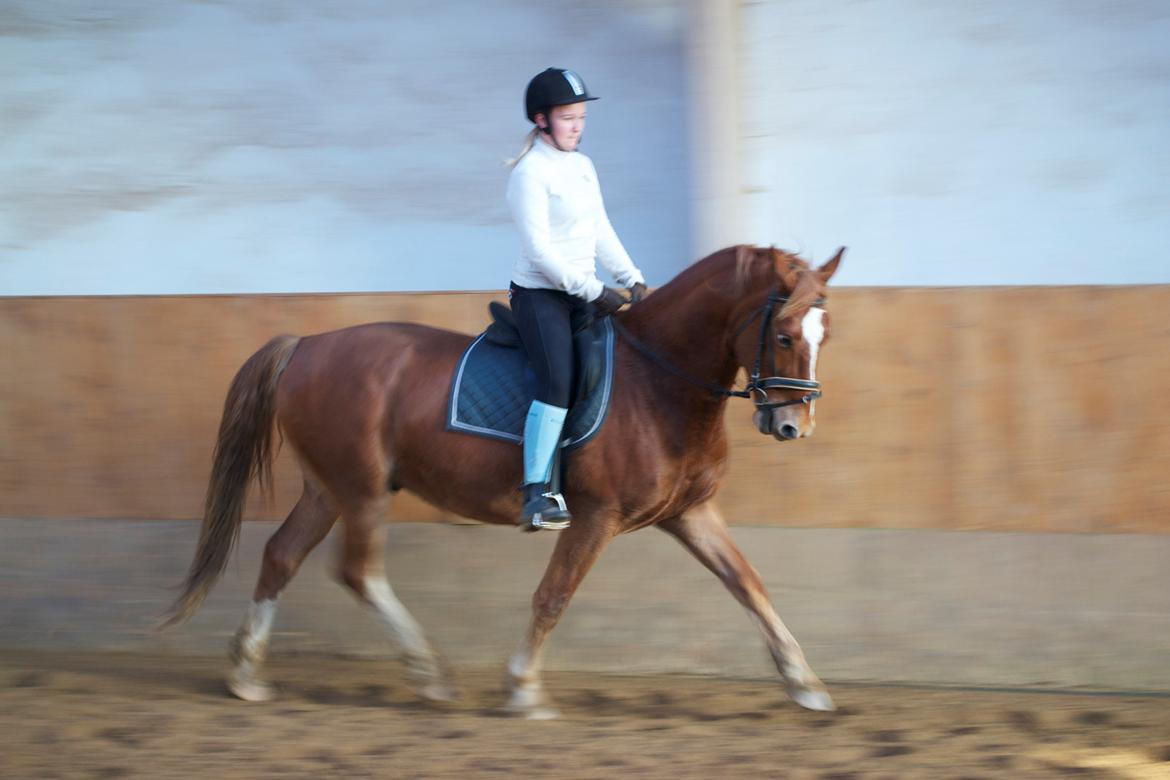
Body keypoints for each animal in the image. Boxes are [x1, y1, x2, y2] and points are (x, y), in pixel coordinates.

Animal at [162, 240, 842, 715]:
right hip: (361, 489)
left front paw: (805, 685)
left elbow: (749, 584)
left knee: (282, 556)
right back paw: (430, 675)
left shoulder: (690, 514)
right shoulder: (596, 517)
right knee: (358, 572)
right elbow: (554, 595)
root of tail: (305, 345)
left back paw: (247, 675)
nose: (793, 426)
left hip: (327, 488)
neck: (659, 381)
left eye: (824, 334)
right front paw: (522, 689)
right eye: (784, 334)